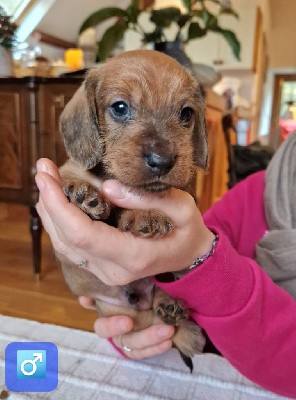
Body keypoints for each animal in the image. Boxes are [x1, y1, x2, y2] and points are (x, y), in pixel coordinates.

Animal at [56, 49, 208, 368]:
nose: (162, 161)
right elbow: (69, 176)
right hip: (118, 313)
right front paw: (81, 195)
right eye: (120, 107)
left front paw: (144, 212)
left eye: (186, 113)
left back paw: (173, 311)